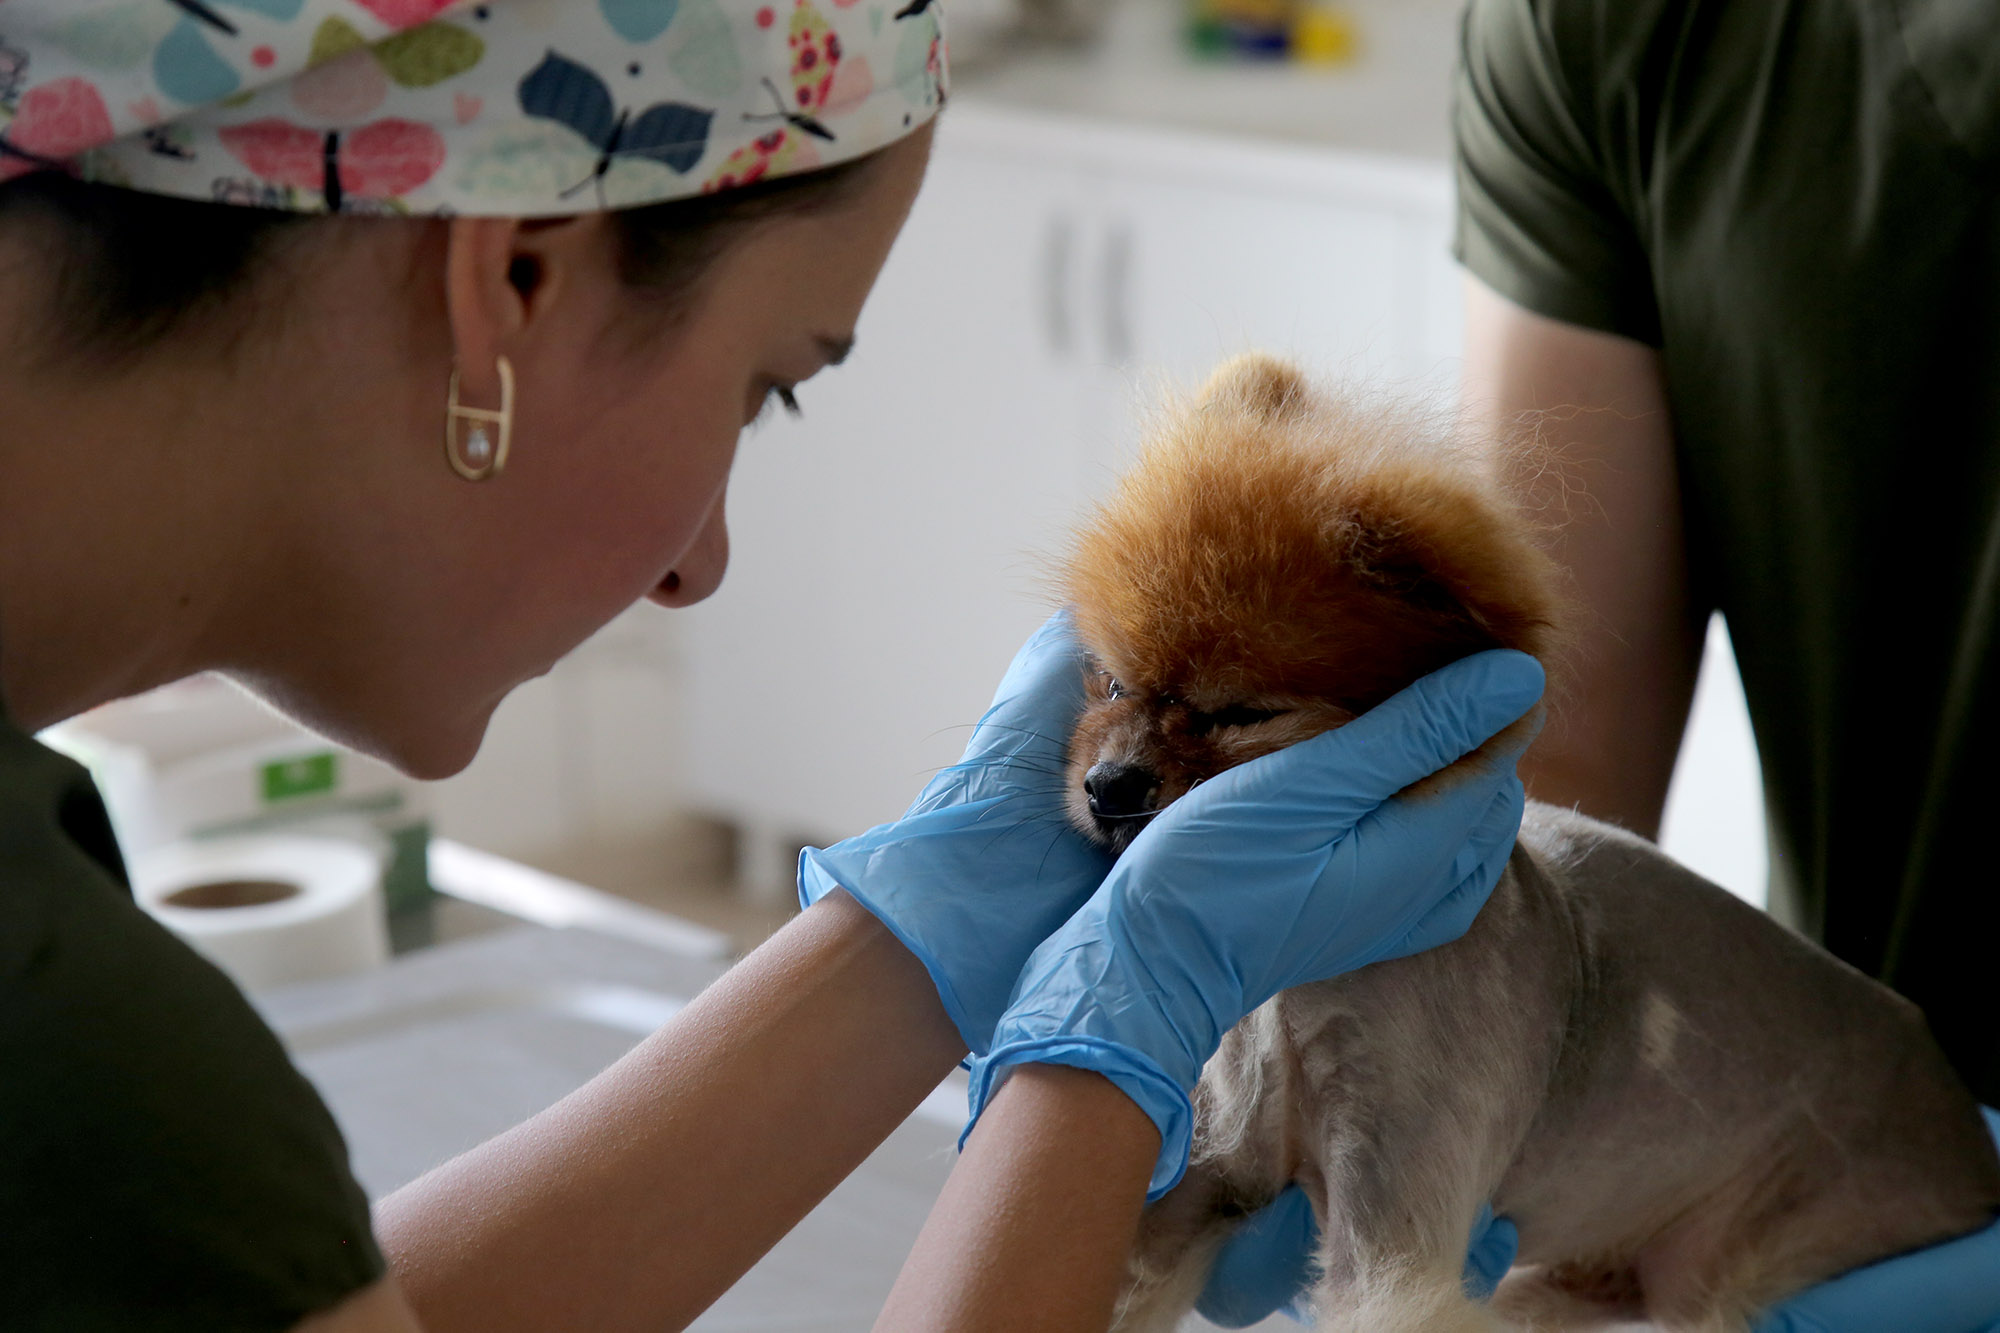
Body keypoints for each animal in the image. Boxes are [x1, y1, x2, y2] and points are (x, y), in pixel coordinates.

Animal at [1064, 356, 2000, 1328]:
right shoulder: (1209, 1174)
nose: (1108, 785)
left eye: (1240, 714)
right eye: (1111, 681)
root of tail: (1973, 1140)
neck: (1303, 978)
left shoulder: (1392, 1231)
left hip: (1754, 1251)